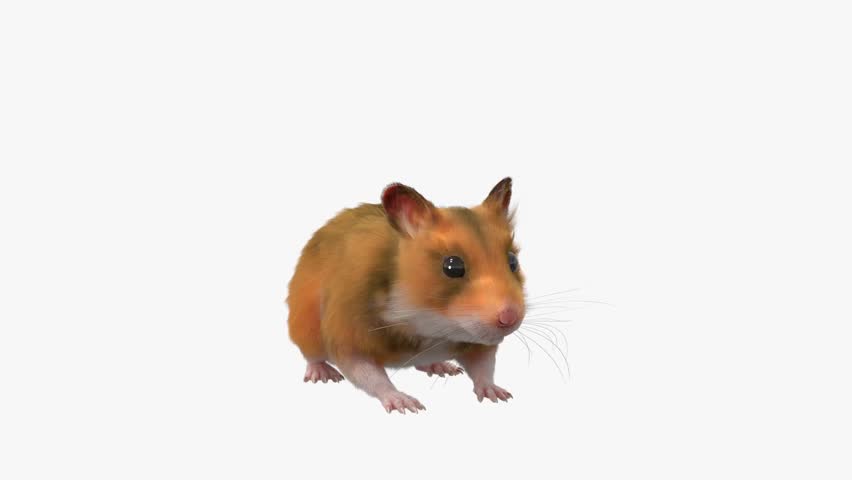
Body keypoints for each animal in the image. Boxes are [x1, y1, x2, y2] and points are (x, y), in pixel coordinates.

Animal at [286, 177, 525, 413]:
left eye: (513, 261)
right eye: (452, 266)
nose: (509, 319)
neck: (430, 325)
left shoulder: (479, 344)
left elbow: (483, 367)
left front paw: (498, 395)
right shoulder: (348, 337)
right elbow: (370, 375)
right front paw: (407, 404)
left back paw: (441, 366)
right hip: (305, 327)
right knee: (312, 356)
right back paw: (323, 374)